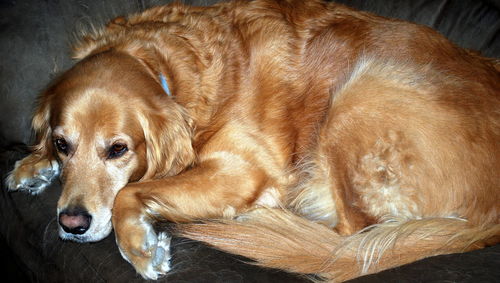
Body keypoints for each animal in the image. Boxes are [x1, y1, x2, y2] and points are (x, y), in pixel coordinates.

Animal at [6, 0, 500, 282]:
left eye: (118, 149)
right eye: (63, 144)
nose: (72, 224)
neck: (166, 68)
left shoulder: (241, 169)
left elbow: (130, 191)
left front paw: (142, 248)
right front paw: (32, 166)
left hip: (362, 92)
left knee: (349, 235)